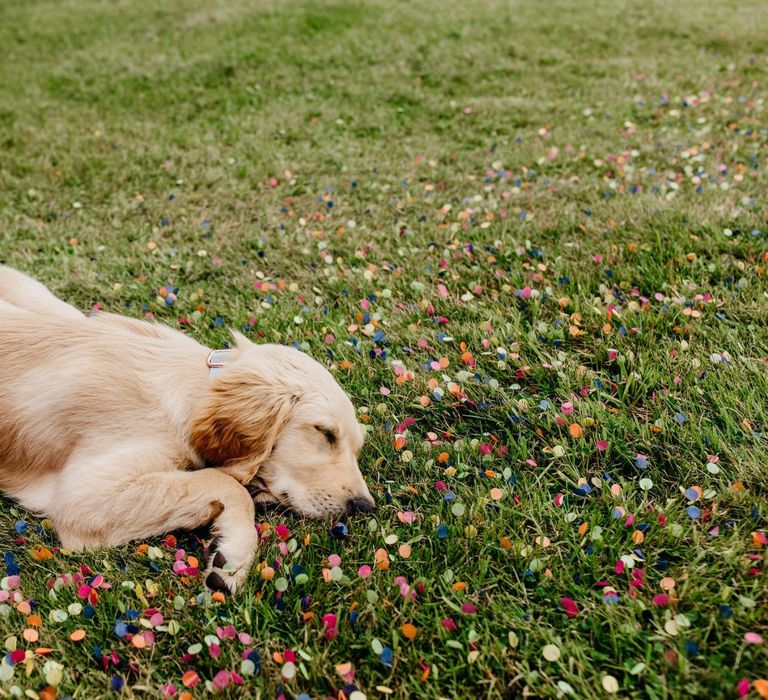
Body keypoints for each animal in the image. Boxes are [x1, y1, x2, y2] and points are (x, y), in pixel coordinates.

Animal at [0, 266, 376, 592]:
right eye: (324, 432)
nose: (365, 506)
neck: (193, 387)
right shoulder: (83, 498)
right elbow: (221, 481)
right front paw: (235, 553)